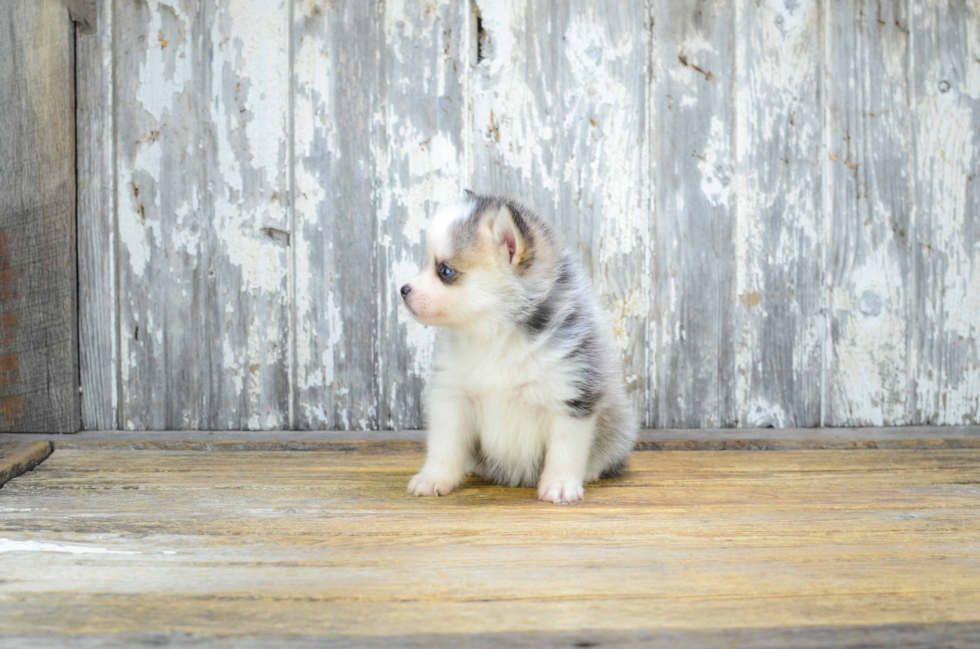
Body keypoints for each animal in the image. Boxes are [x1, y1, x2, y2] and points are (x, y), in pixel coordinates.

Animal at [398, 190, 636, 504]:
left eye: (445, 271)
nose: (403, 290)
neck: (496, 334)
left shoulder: (572, 397)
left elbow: (565, 450)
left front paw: (561, 485)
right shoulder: (453, 397)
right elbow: (444, 445)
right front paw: (434, 477)